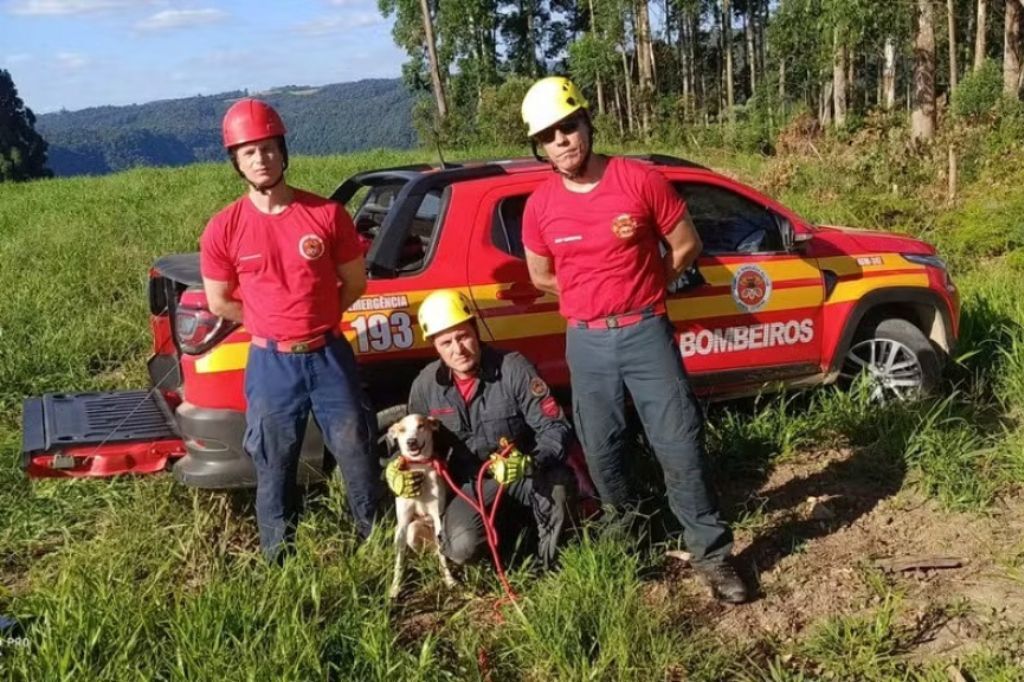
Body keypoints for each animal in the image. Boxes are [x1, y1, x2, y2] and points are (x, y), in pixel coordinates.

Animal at [387, 409, 460, 593]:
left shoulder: (437, 517)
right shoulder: (403, 522)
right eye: (402, 430)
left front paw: (449, 580)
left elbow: (443, 558)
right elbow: (399, 561)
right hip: (411, 530)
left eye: (421, 426)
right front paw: (395, 587)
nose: (411, 442)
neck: (419, 466)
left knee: (440, 552)